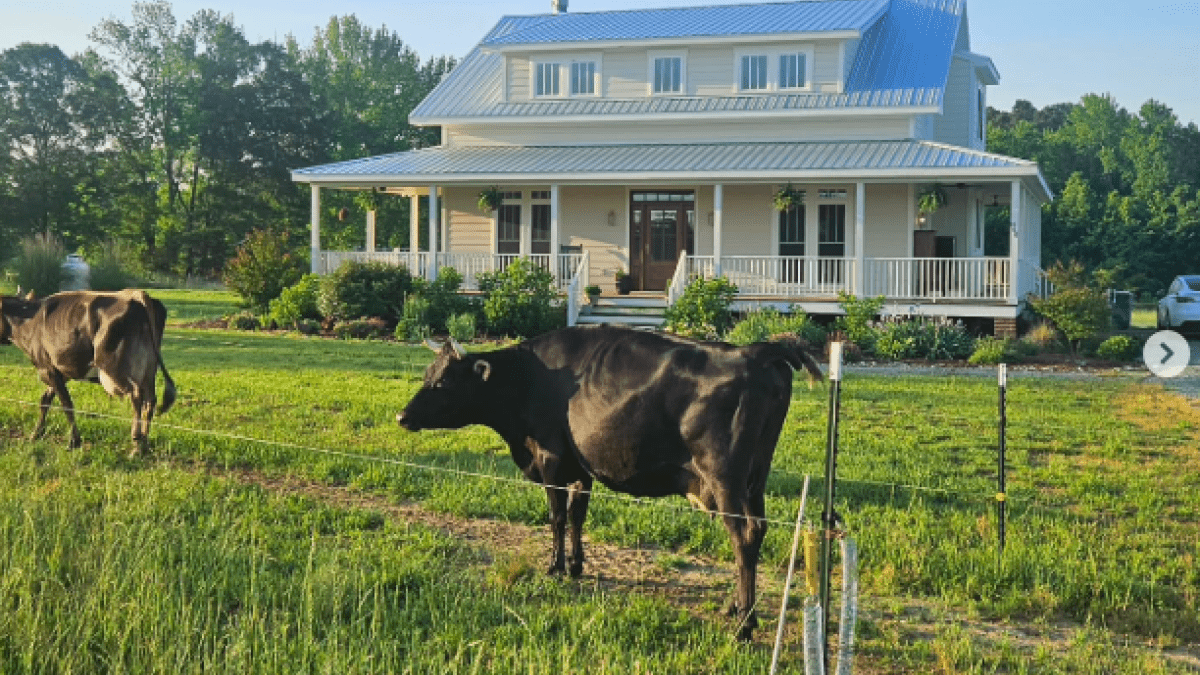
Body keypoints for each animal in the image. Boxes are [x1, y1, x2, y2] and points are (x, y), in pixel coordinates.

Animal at [0, 289, 177, 456]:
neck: (28, 321)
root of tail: (137, 295)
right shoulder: (59, 371)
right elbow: (45, 400)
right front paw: (36, 434)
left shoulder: (47, 369)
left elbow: (66, 404)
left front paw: (74, 442)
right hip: (148, 369)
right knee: (150, 401)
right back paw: (144, 444)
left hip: (114, 367)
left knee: (136, 395)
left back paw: (136, 445)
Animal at [396, 325, 823, 639]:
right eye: (426, 376)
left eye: (443, 383)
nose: (402, 416)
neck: (530, 379)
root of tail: (753, 351)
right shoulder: (580, 467)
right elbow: (577, 515)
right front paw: (575, 565)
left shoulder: (550, 458)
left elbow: (556, 516)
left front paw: (554, 566)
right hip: (755, 479)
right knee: (758, 532)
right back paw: (734, 607)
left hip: (724, 478)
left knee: (743, 535)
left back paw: (743, 625)